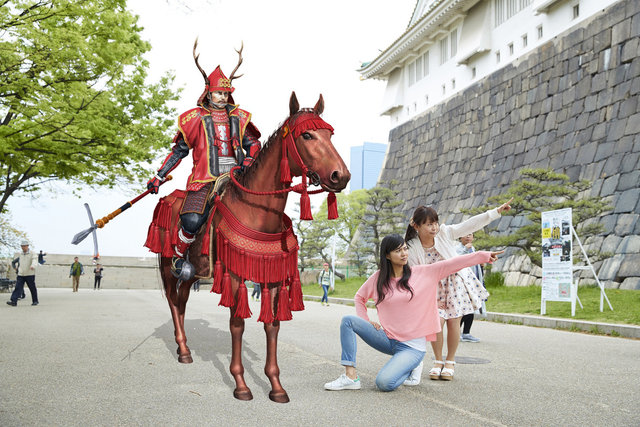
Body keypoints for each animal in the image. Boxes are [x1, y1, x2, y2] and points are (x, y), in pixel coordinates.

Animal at [158, 92, 352, 402]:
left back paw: (183, 347)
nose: (340, 176)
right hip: (167, 264)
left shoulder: (270, 274)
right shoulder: (235, 274)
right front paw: (241, 385)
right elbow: (237, 323)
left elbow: (272, 325)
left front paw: (276, 387)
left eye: (330, 134)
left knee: (183, 299)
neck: (257, 211)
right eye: (307, 135)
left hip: (194, 272)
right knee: (172, 300)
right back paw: (184, 350)